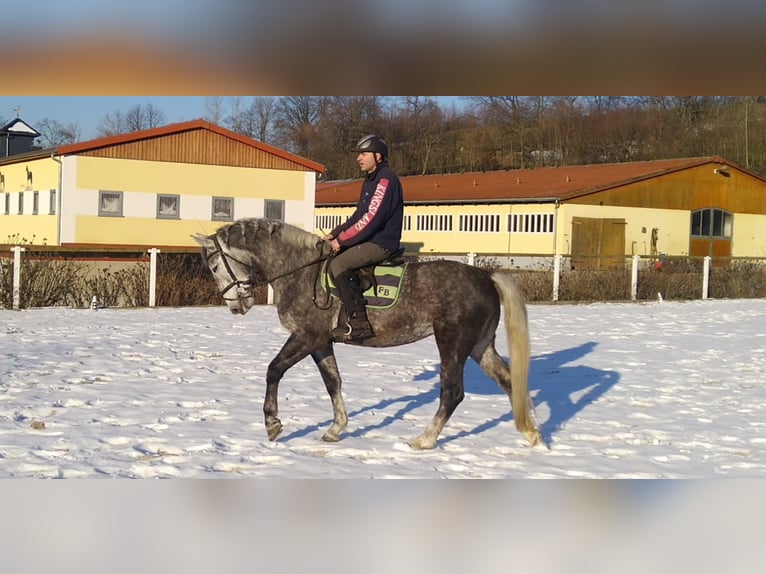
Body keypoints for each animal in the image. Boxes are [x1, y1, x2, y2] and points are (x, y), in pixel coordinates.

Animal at [194, 219, 540, 450]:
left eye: (214, 266)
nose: (235, 306)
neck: (299, 271)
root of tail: (486, 277)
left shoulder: (306, 336)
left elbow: (274, 370)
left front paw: (272, 424)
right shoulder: (321, 342)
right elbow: (333, 382)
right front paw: (336, 429)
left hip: (452, 343)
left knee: (452, 392)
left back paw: (425, 439)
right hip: (479, 346)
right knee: (509, 382)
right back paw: (531, 433)